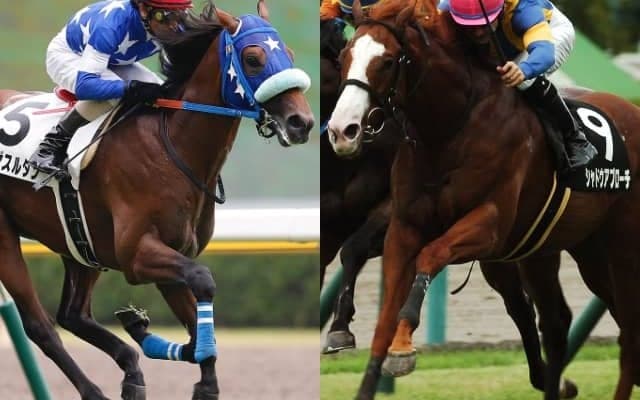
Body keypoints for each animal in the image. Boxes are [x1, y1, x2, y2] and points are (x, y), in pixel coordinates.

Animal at [0, 2, 313, 400]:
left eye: (288, 54)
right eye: (253, 58)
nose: (302, 122)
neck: (172, 145)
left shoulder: (171, 254)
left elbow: (195, 323)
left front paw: (158, 343)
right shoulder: (137, 253)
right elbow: (203, 280)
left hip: (80, 243)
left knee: (72, 314)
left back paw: (131, 366)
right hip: (6, 239)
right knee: (40, 326)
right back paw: (94, 389)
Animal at [327, 0, 640, 399]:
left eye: (386, 61)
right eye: (345, 57)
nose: (342, 131)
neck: (451, 129)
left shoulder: (488, 225)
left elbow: (430, 256)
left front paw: (403, 347)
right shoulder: (403, 227)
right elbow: (381, 323)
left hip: (623, 248)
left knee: (629, 336)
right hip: (569, 250)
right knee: (558, 324)